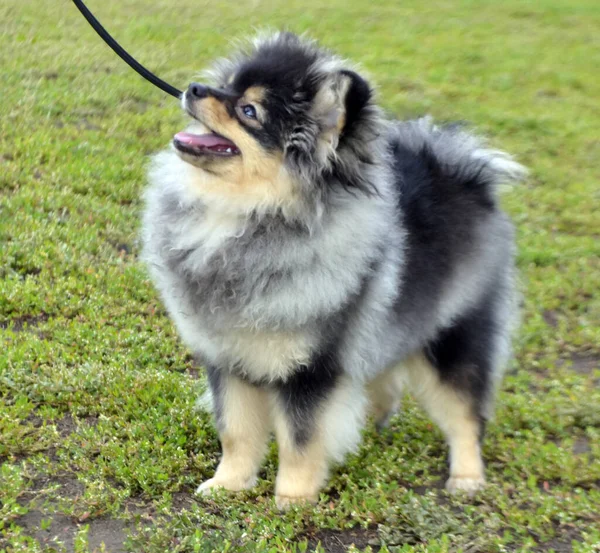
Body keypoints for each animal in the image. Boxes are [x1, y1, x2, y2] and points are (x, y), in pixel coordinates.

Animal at [143, 31, 524, 508]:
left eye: (249, 111)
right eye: (227, 86)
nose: (194, 88)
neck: (243, 217)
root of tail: (465, 173)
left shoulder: (312, 367)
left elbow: (301, 439)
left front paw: (292, 499)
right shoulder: (230, 358)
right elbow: (236, 431)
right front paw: (228, 484)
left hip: (452, 338)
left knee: (465, 413)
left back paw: (467, 477)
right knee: (384, 382)